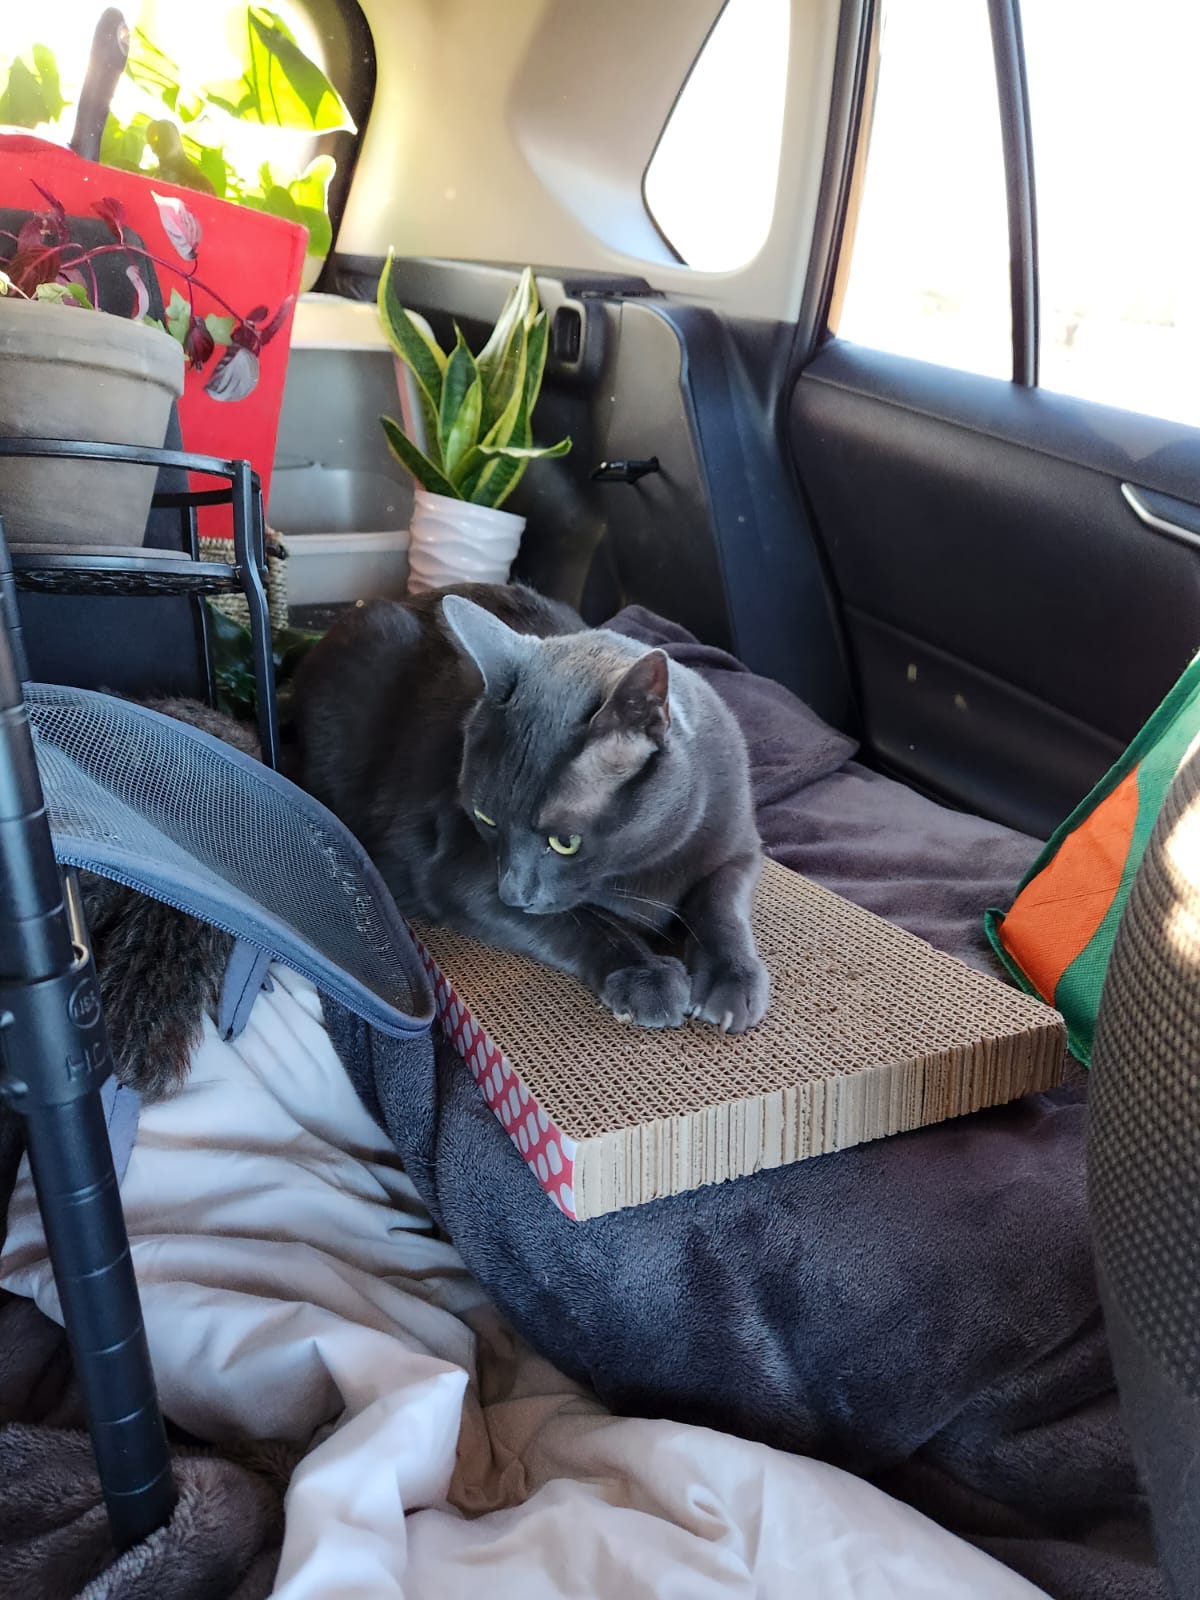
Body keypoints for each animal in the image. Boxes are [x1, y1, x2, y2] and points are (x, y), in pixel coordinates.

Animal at [291, 582, 771, 1030]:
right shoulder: (456, 874)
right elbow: (586, 922)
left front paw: (732, 979)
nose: (513, 894)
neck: (644, 862)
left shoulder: (741, 847)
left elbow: (721, 906)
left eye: (565, 842)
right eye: (485, 820)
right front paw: (647, 975)